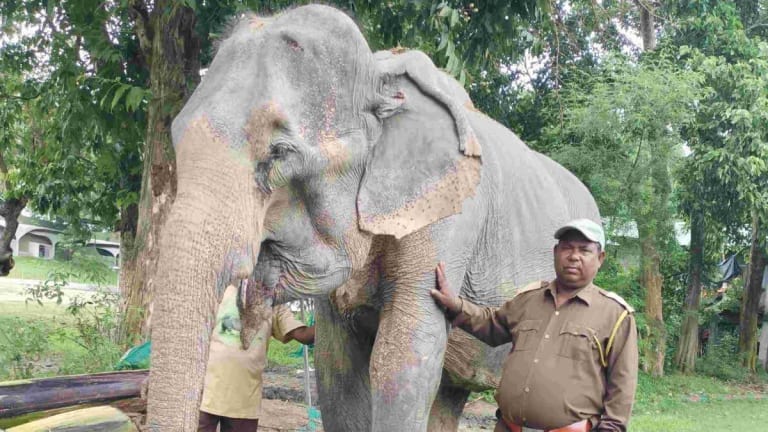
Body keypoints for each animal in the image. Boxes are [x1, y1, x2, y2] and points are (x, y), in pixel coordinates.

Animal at [147, 4, 600, 432]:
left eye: (279, 152)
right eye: (175, 134)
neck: (378, 74)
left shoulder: (449, 217)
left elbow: (402, 359)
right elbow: (338, 366)